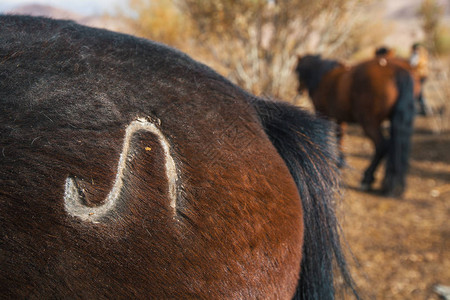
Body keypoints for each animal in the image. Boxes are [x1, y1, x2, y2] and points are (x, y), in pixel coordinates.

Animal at [298, 54, 416, 197]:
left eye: (297, 71)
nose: (299, 90)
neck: (323, 75)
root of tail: (397, 73)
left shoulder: (323, 112)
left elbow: (328, 135)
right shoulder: (340, 117)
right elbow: (340, 136)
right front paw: (341, 161)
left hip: (369, 123)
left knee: (382, 146)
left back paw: (367, 179)